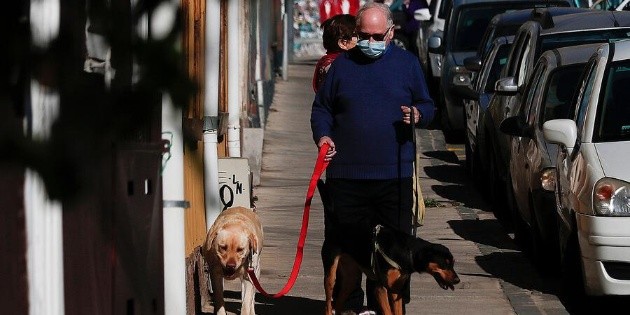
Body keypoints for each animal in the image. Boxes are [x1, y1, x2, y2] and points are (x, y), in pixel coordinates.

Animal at [320, 180, 460, 315]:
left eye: (453, 263)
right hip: (330, 275)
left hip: (351, 277)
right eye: (444, 264)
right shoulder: (380, 288)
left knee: (338, 302)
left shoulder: (396, 289)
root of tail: (337, 226)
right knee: (328, 304)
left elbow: (397, 311)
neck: (407, 251)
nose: (457, 280)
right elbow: (388, 311)